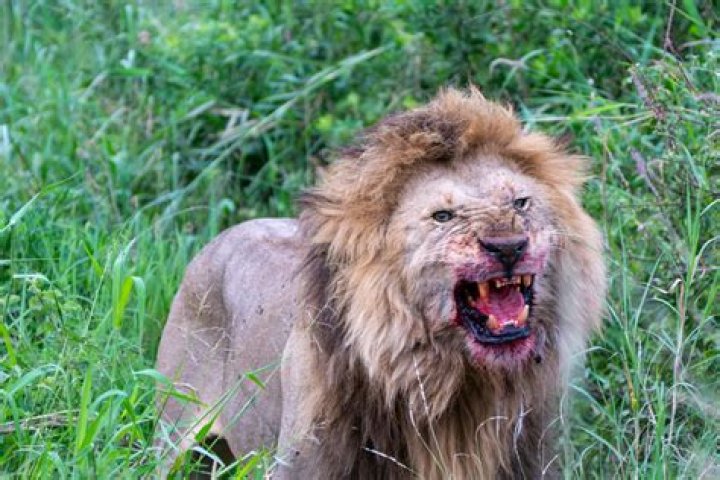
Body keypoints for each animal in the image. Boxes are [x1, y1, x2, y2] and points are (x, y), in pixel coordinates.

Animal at [155, 87, 606, 479]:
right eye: (443, 216)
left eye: (520, 203)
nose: (508, 246)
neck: (455, 383)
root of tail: (219, 238)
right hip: (172, 436)